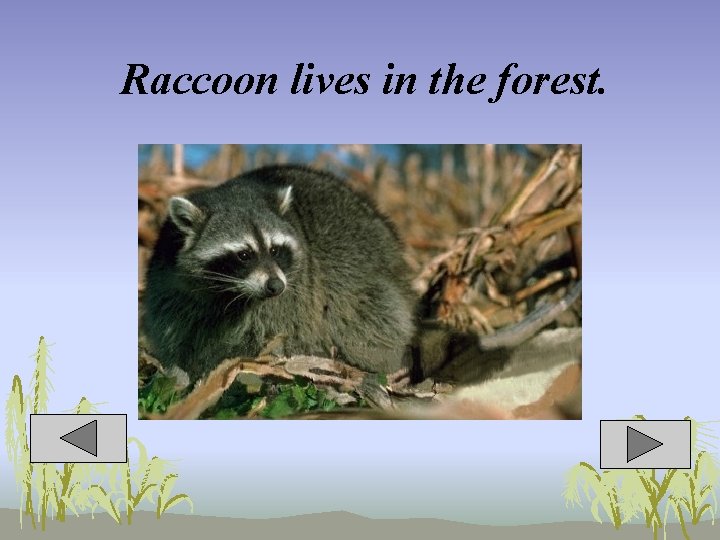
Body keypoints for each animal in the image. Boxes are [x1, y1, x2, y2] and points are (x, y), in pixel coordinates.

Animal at [142, 165, 417, 382]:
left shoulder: (293, 296)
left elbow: (277, 337)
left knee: (361, 319)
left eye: (275, 250)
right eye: (244, 255)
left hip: (363, 278)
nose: (275, 286)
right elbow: (174, 327)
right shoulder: (167, 278)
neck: (226, 293)